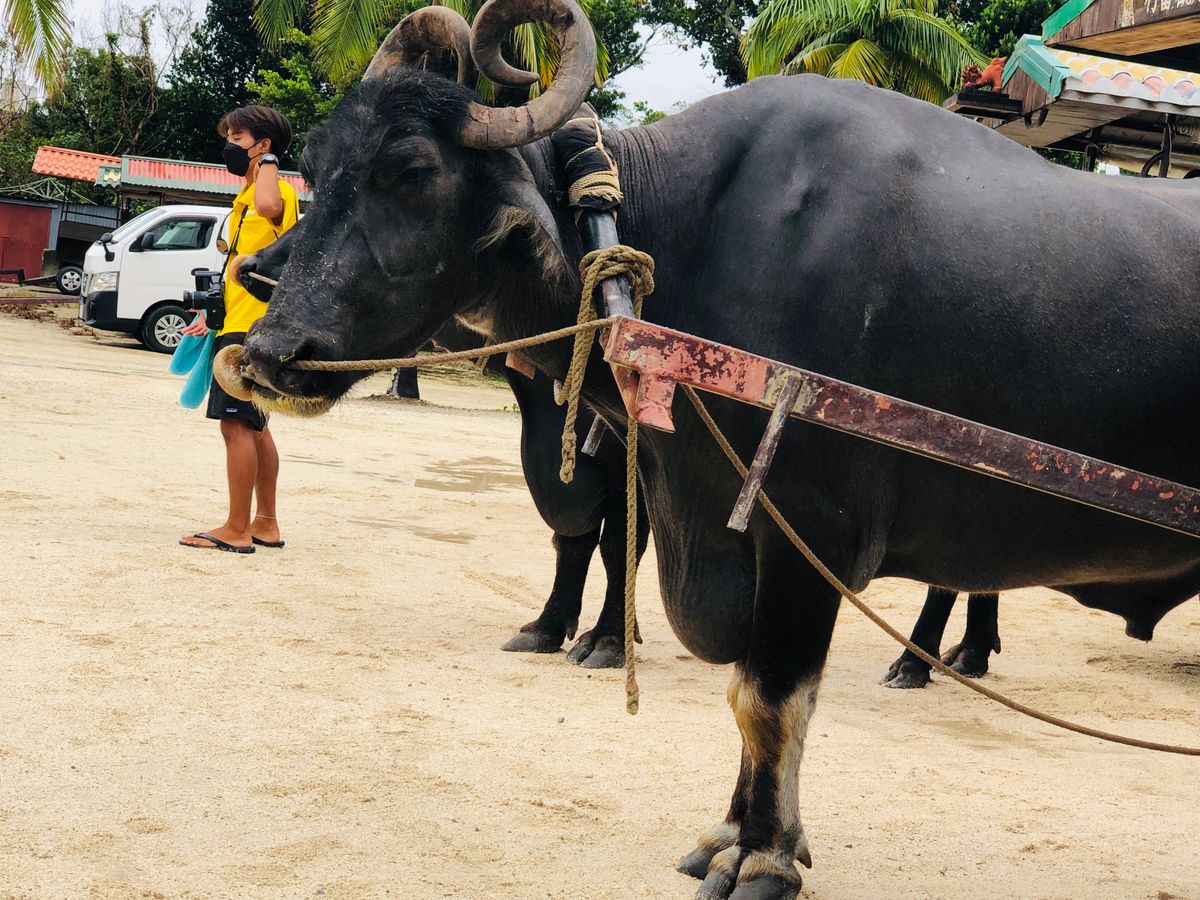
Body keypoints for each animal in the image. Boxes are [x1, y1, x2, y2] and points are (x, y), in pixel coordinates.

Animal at [238, 230, 650, 669]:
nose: (248, 265)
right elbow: (570, 536)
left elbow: (619, 545)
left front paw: (609, 639)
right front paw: (548, 626)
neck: (547, 409)